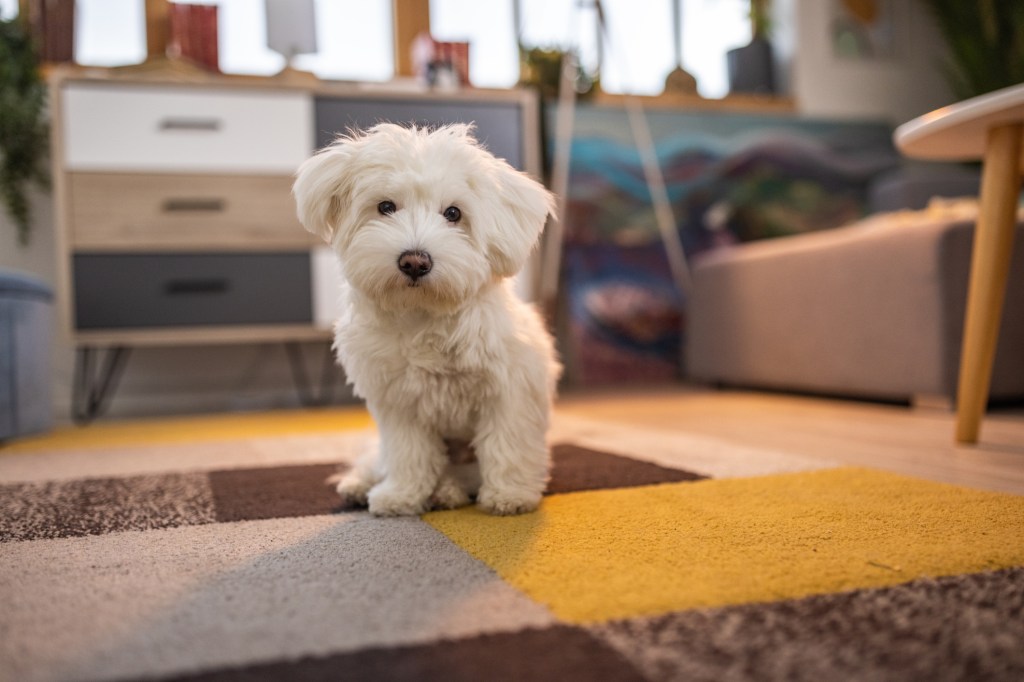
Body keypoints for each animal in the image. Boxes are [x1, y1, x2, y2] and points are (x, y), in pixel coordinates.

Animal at [292, 123, 565, 516]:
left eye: (453, 213)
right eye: (386, 207)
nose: (414, 262)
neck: (425, 314)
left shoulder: (510, 392)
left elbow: (507, 445)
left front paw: (510, 496)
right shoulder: (399, 401)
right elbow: (408, 453)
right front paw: (400, 496)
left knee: (464, 472)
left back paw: (447, 491)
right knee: (378, 460)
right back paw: (361, 485)